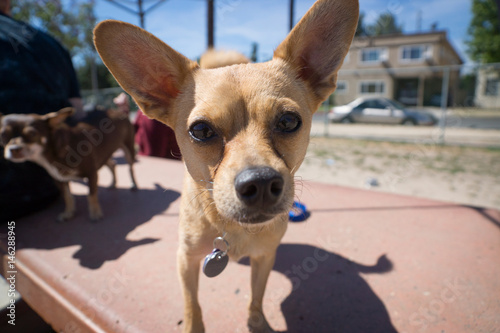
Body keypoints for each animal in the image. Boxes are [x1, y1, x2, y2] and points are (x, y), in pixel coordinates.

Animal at [0, 107, 137, 220]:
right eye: (3, 135)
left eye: (32, 134)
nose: (14, 149)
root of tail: (117, 111)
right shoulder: (59, 179)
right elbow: (67, 196)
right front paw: (69, 213)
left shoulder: (91, 174)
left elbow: (91, 194)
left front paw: (95, 213)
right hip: (104, 154)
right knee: (112, 164)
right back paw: (113, 183)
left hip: (128, 149)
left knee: (130, 167)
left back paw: (133, 184)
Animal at [94, 0, 360, 330]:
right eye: (201, 130)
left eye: (288, 122)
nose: (260, 182)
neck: (233, 230)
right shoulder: (186, 261)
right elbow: (192, 305)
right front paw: (194, 325)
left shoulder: (263, 259)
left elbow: (256, 299)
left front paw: (257, 324)